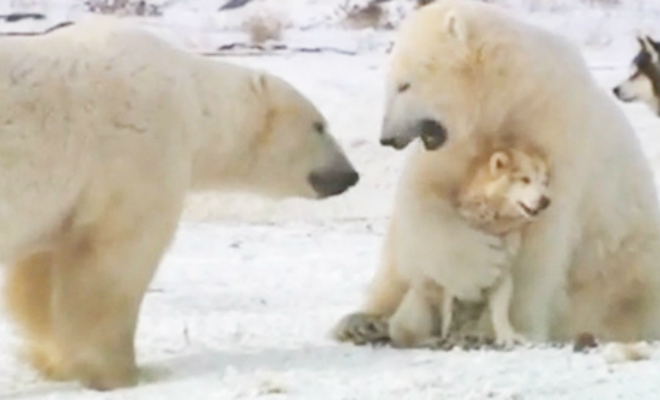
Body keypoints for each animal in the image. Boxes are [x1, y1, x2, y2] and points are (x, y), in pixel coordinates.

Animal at [0, 18, 358, 390]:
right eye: (319, 125)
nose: (350, 174)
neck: (194, 99)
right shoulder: (140, 149)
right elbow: (114, 264)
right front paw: (122, 372)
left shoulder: (65, 200)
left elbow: (41, 269)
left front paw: (53, 361)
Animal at [332, 0, 660, 348]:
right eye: (392, 82)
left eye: (404, 84)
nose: (387, 137)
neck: (505, 96)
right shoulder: (458, 146)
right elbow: (423, 196)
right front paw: (482, 266)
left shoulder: (553, 131)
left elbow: (539, 242)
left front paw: (495, 328)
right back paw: (363, 321)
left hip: (629, 262)